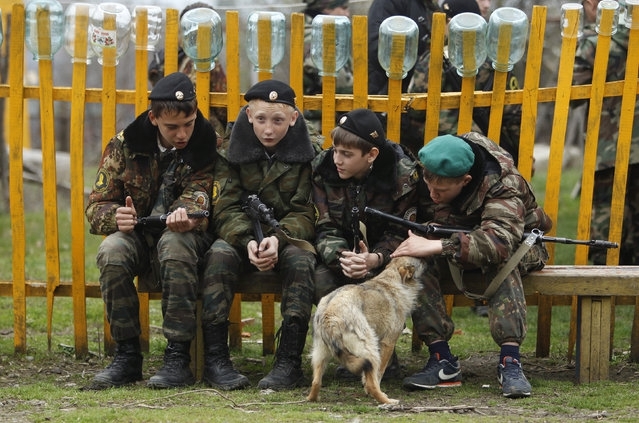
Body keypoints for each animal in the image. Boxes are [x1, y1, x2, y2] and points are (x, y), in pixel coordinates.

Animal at [306, 256, 422, 406]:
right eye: (419, 262)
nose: (428, 260)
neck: (392, 279)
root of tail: (329, 313)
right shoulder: (388, 343)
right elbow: (378, 374)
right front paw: (369, 389)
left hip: (320, 354)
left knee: (315, 382)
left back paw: (313, 398)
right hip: (369, 349)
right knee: (373, 384)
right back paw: (387, 401)